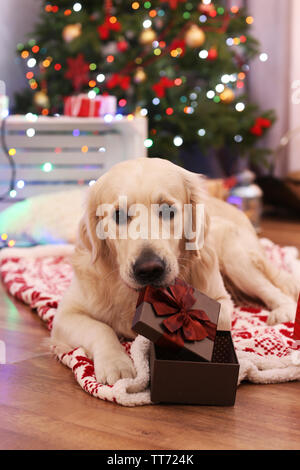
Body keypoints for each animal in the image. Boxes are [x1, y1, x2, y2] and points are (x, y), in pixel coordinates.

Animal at [51, 156, 298, 384]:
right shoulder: (65, 314)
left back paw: (283, 311)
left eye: (168, 210)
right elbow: (101, 329)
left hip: (236, 260)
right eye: (118, 215)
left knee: (273, 289)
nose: (149, 269)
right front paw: (116, 363)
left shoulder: (222, 301)